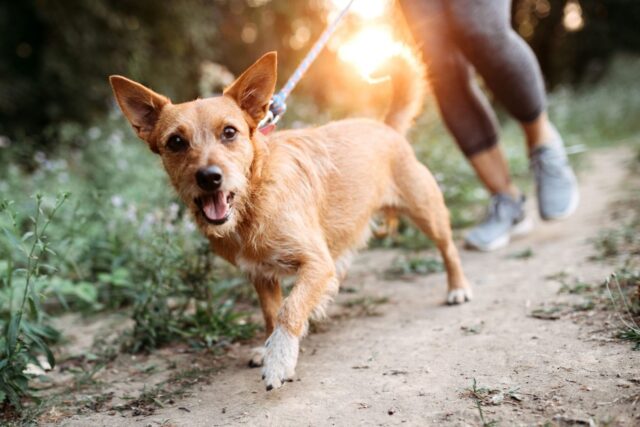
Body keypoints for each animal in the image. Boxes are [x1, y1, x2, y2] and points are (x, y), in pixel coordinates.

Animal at [109, 50, 470, 392]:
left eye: (229, 132)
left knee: (448, 248)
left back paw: (458, 288)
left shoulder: (315, 263)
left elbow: (289, 309)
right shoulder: (261, 275)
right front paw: (270, 348)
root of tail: (385, 127)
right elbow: (271, 313)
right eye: (176, 142)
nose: (209, 177)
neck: (252, 201)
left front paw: (279, 359)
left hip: (427, 211)